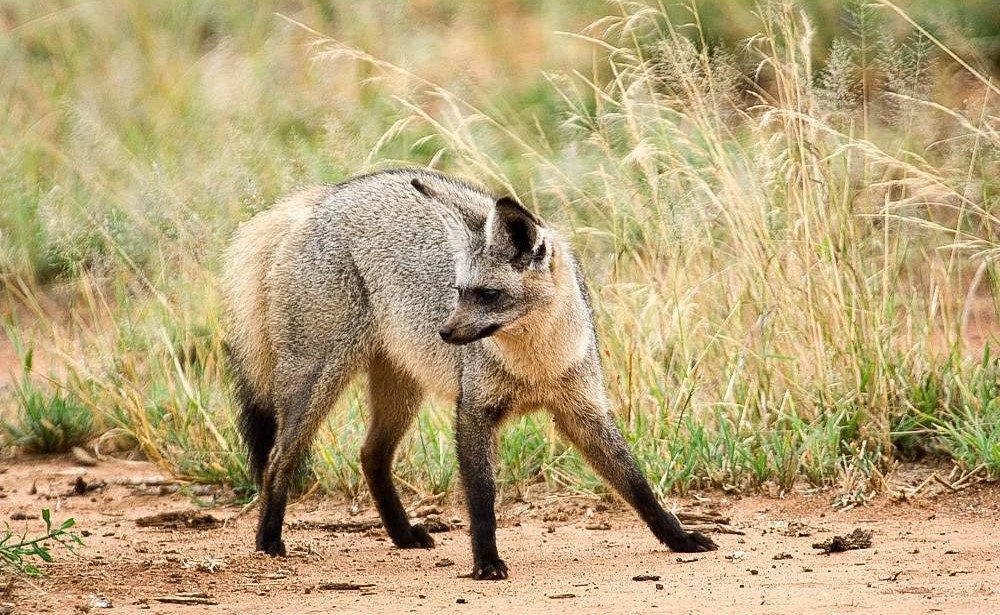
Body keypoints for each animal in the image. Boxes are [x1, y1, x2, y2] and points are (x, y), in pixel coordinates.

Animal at [221, 168, 717, 580]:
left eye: (488, 295)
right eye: (459, 291)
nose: (444, 331)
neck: (534, 366)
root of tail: (324, 196)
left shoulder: (582, 412)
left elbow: (637, 485)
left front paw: (679, 538)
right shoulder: (475, 411)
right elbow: (481, 499)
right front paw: (486, 562)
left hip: (400, 391)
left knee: (370, 455)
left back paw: (402, 535)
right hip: (317, 384)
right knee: (278, 458)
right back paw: (268, 540)